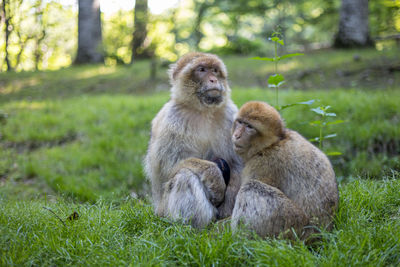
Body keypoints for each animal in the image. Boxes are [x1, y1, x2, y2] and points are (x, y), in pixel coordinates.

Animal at [145, 52, 242, 228]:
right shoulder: (172, 120)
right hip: (164, 211)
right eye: (202, 70)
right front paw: (213, 175)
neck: (203, 110)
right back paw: (193, 227)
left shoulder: (231, 116)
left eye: (214, 70)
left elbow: (236, 163)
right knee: (185, 175)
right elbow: (167, 167)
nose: (213, 79)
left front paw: (229, 205)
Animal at [230, 101, 340, 240]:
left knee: (250, 187)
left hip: (292, 225)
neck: (274, 142)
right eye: (240, 122)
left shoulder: (264, 164)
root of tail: (320, 233)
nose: (236, 135)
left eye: (249, 127)